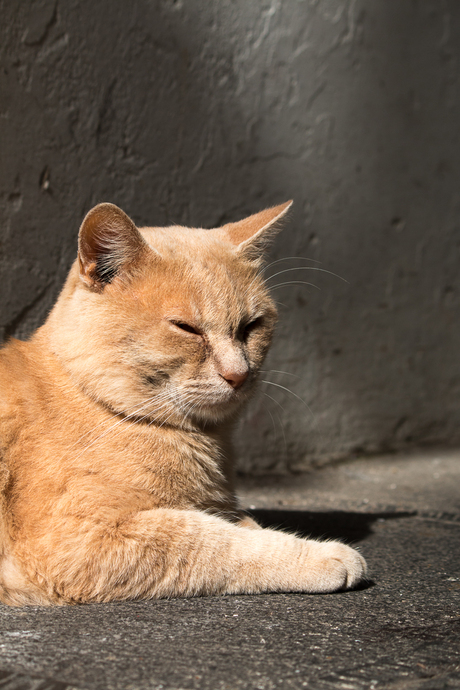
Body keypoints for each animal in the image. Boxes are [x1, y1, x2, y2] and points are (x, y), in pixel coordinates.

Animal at [0, 200, 366, 600]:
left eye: (251, 326)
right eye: (187, 328)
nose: (238, 373)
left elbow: (238, 523)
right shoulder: (76, 540)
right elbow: (210, 538)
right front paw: (317, 555)